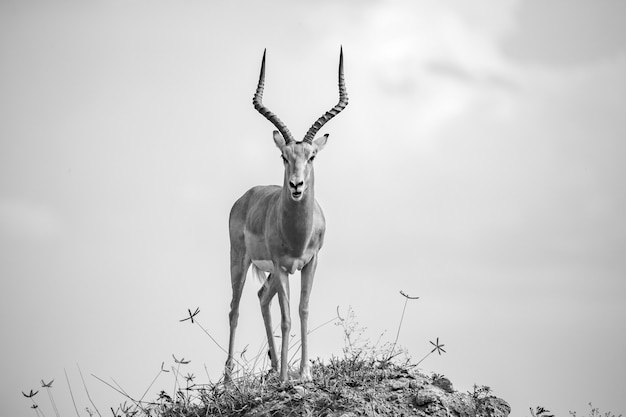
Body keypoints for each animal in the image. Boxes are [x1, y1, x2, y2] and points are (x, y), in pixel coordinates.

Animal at [224, 48, 348, 380]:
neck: (297, 235)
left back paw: (274, 367)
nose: (296, 185)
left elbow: (302, 311)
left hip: (268, 274)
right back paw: (228, 380)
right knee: (234, 309)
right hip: (240, 260)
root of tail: (246, 196)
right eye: (284, 156)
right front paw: (284, 378)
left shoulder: (310, 263)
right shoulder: (281, 265)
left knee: (260, 298)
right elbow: (287, 317)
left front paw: (303, 373)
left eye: (312, 156)